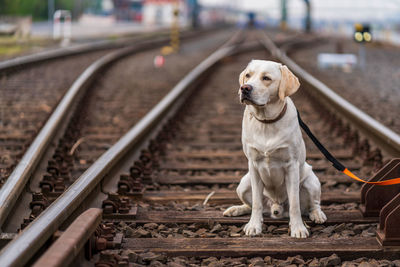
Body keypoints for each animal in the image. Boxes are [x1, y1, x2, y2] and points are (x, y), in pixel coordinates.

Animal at [223, 60, 326, 239]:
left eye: (266, 78)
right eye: (248, 75)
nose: (245, 88)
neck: (266, 121)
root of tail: (276, 208)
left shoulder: (291, 166)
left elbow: (295, 204)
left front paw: (298, 228)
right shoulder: (253, 166)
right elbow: (256, 203)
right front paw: (254, 226)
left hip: (311, 181)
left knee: (313, 204)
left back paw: (317, 214)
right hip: (243, 184)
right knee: (252, 205)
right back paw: (235, 209)